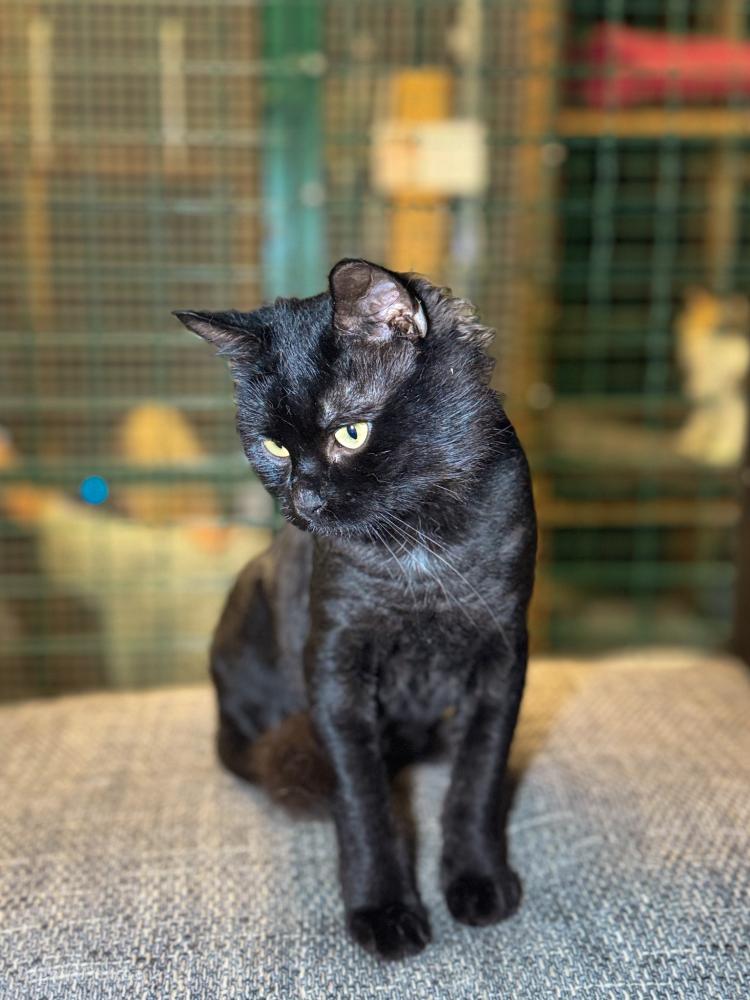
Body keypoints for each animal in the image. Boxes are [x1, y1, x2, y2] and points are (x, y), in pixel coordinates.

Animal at [174, 259, 537, 960]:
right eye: (274, 447)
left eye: (351, 431)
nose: (303, 502)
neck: (420, 552)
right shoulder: (337, 662)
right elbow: (362, 801)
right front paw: (384, 911)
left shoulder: (503, 653)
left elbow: (478, 780)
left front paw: (479, 881)